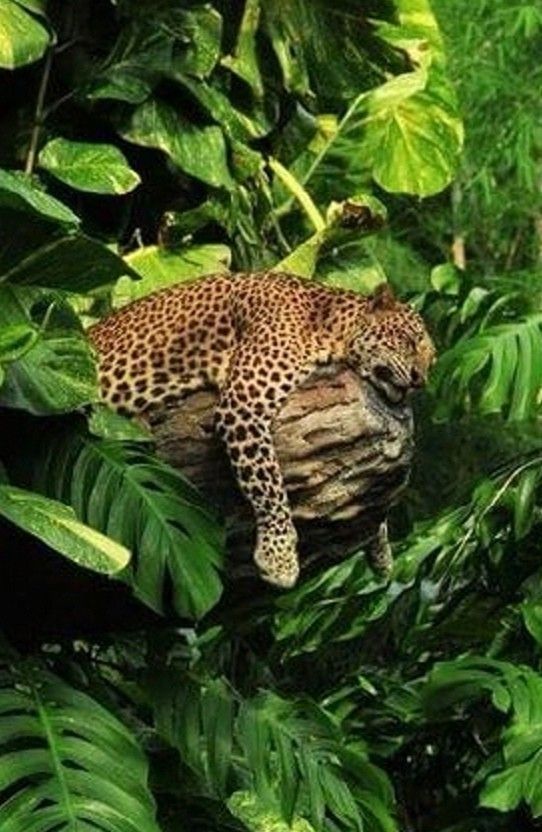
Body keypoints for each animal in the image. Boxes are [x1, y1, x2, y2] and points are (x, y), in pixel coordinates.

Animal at [90, 272, 438, 584]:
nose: (420, 380)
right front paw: (279, 557)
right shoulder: (243, 403)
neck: (326, 322)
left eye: (431, 361)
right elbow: (267, 482)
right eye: (408, 341)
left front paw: (381, 549)